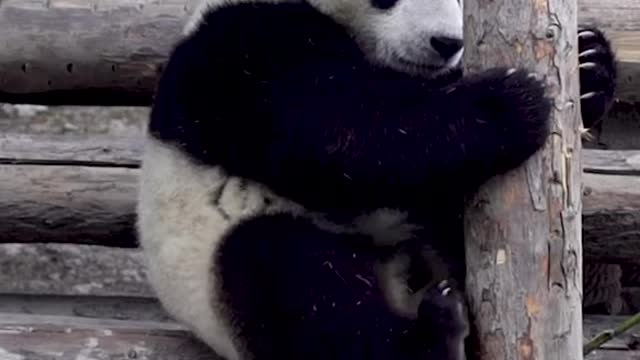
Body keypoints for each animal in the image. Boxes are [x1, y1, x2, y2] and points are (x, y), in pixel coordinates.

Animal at [138, 0, 616, 358]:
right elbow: (337, 133)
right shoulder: (241, 49)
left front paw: (588, 64)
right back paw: (432, 339)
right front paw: (506, 106)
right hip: (210, 274)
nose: (447, 43)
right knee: (291, 276)